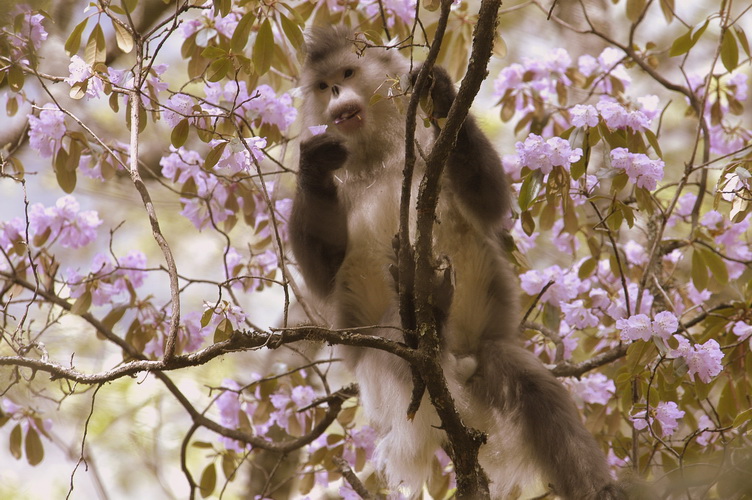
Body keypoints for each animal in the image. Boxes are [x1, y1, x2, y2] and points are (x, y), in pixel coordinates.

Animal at [289, 26, 625, 499]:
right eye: (322, 85)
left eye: (347, 73)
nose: (336, 92)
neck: (380, 158)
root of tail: (458, 362)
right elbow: (324, 276)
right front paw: (313, 165)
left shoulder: (429, 149)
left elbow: (488, 201)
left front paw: (442, 94)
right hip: (382, 365)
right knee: (398, 336)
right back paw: (430, 312)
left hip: (486, 349)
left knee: (534, 388)